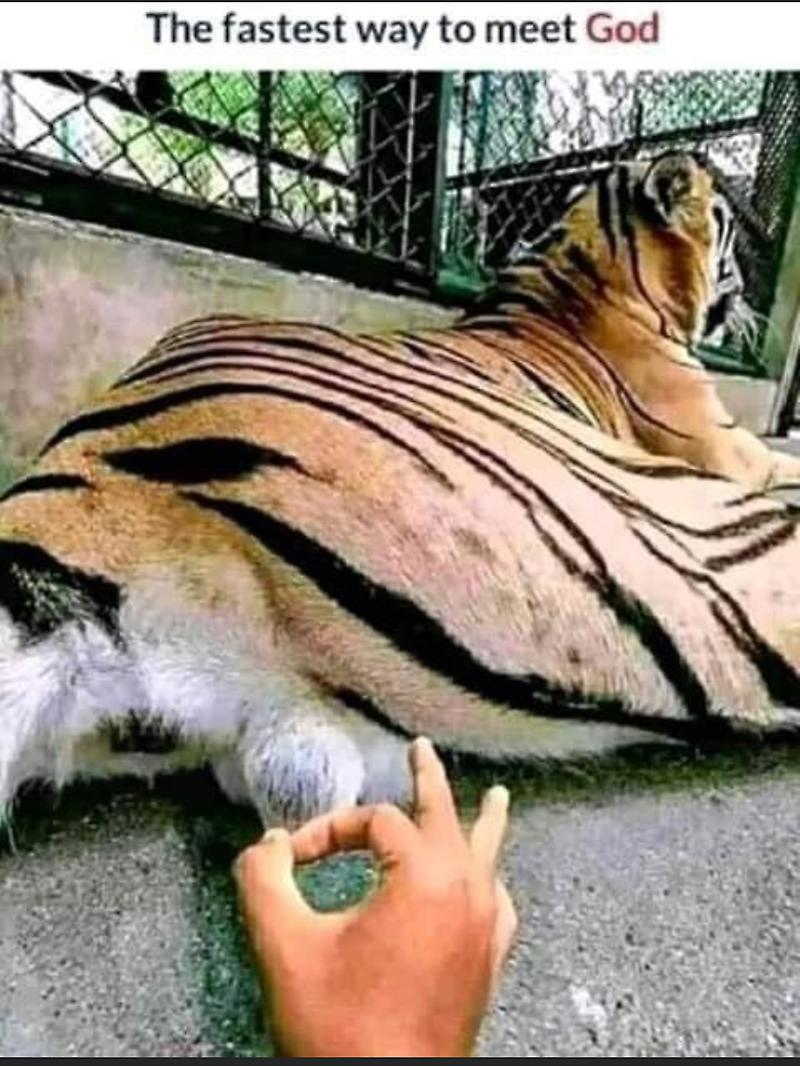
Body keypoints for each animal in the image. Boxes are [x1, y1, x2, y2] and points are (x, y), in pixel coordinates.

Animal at [2, 149, 800, 825]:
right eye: (729, 225)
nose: (749, 299)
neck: (586, 265)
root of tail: (66, 483)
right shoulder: (730, 453)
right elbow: (781, 458)